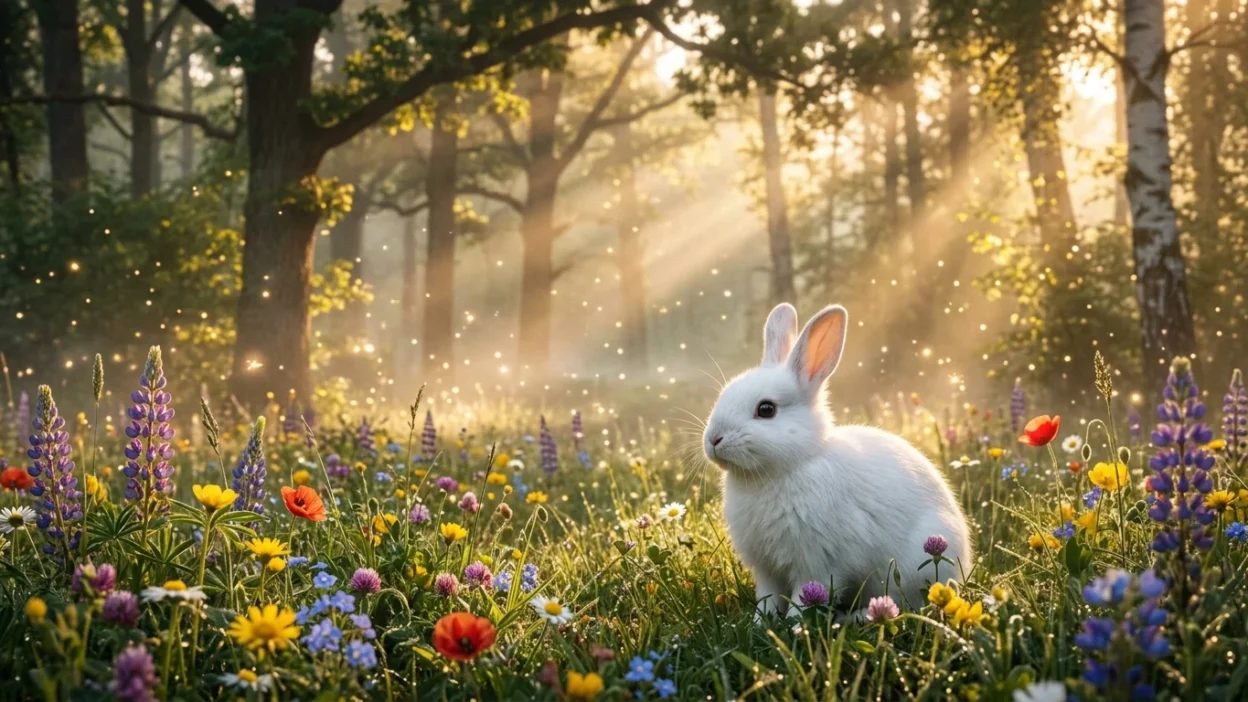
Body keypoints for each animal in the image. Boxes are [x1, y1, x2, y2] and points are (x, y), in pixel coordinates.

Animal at [703, 303, 972, 620]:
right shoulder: (767, 570)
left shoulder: (816, 564)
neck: (787, 468)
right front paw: (760, 623)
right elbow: (767, 598)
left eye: (766, 409)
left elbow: (803, 597)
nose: (713, 439)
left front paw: (793, 625)